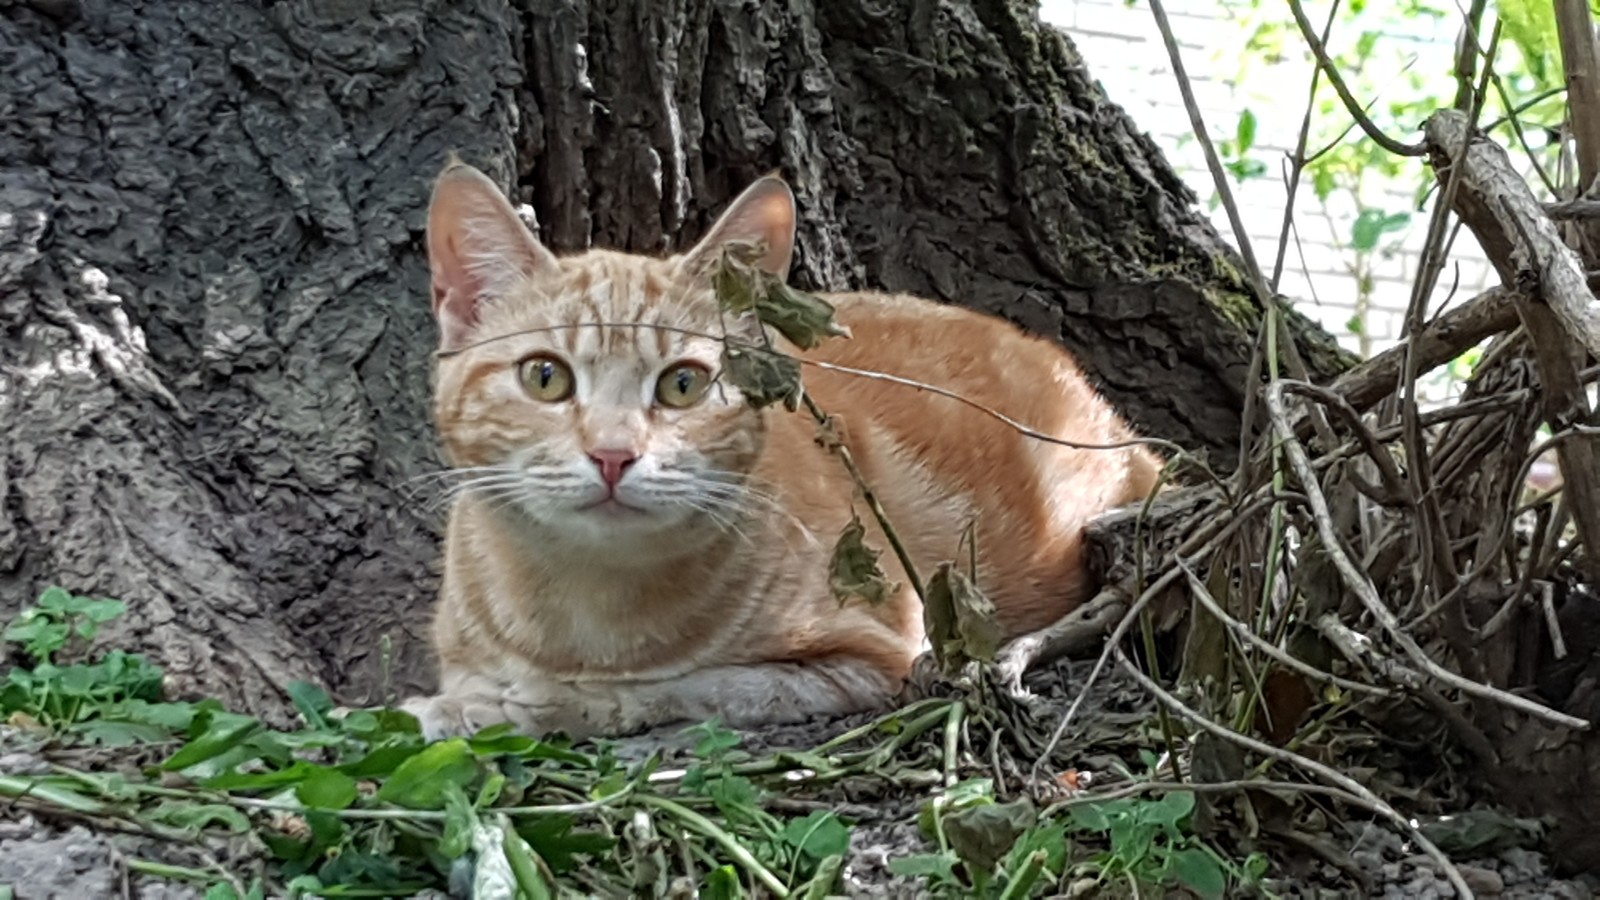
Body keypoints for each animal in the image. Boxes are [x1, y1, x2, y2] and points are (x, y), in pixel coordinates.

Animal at [400, 160, 1164, 736]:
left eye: (683, 385)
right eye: (546, 377)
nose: (614, 456)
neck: (586, 599)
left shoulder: (873, 659)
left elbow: (683, 687)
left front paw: (529, 704)